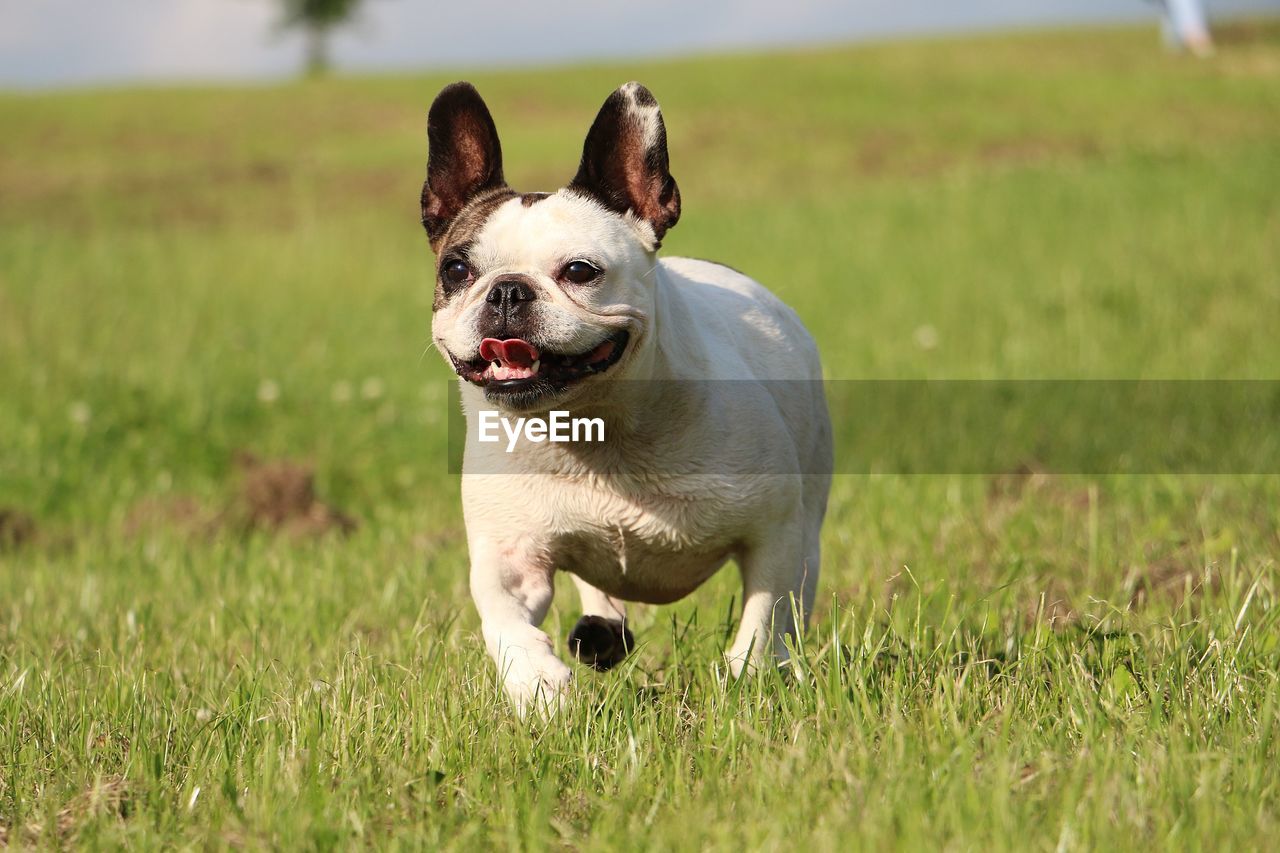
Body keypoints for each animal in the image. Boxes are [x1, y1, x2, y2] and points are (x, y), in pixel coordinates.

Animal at [424, 81, 834, 712]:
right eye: (457, 269)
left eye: (580, 271)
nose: (508, 291)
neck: (594, 427)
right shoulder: (509, 554)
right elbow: (504, 618)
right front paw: (537, 684)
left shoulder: (775, 533)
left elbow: (765, 614)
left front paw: (748, 676)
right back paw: (600, 632)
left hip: (809, 512)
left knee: (798, 597)